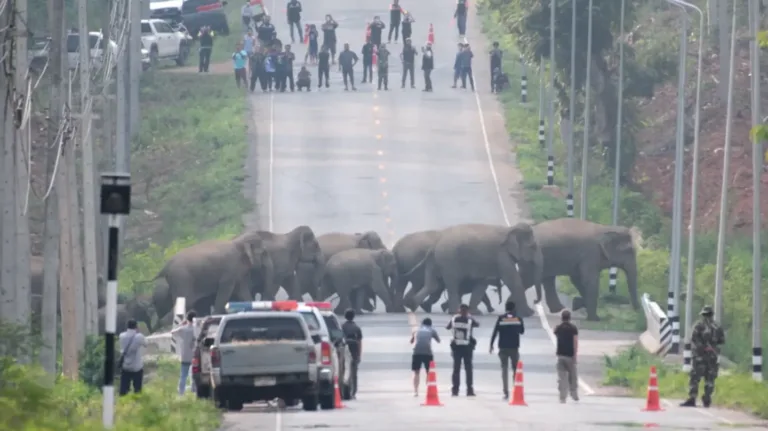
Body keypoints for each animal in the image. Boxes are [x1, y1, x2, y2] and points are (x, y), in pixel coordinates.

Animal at [408, 224, 540, 318]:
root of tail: (435, 243)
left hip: (435, 260)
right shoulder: (502, 256)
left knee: (432, 284)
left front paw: (476, 313)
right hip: (449, 260)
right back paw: (454, 311)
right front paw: (529, 314)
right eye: (533, 246)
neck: (509, 229)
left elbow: (482, 284)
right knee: (452, 284)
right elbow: (512, 280)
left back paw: (413, 305)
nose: (535, 301)